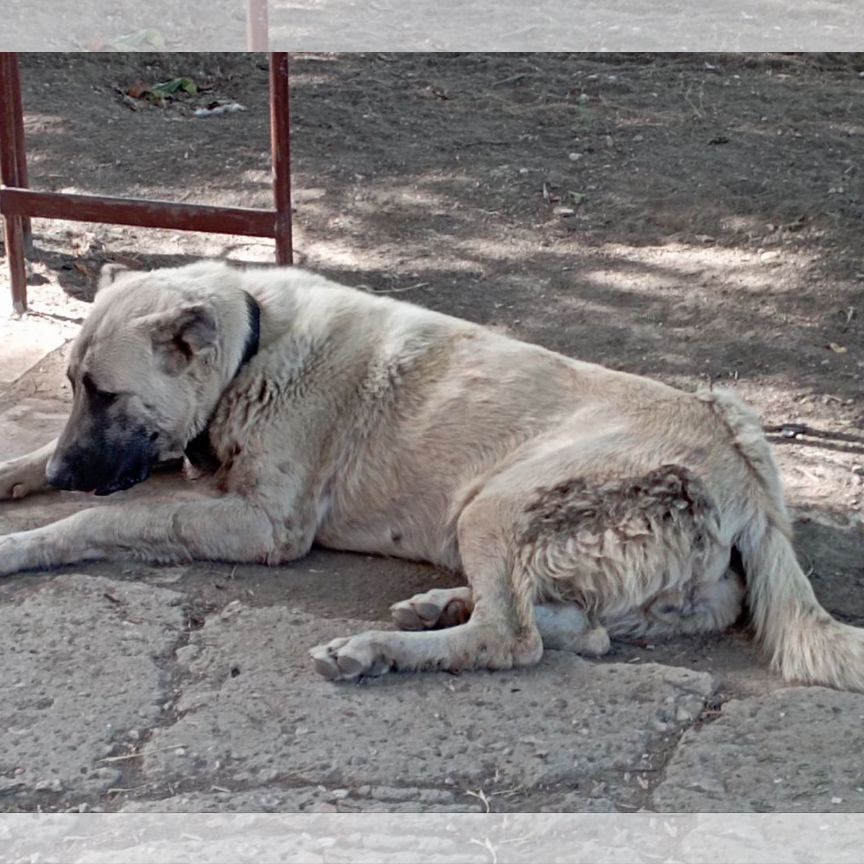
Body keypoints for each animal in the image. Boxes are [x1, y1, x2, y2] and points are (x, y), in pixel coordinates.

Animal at [0, 260, 860, 692]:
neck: (251, 344)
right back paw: (436, 605)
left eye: (104, 392)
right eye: (70, 383)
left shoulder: (261, 525)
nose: (64, 470)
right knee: (580, 630)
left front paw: (25, 542)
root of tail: (748, 478)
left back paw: (376, 650)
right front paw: (20, 473)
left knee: (515, 641)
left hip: (495, 504)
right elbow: (40, 463)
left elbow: (102, 519)